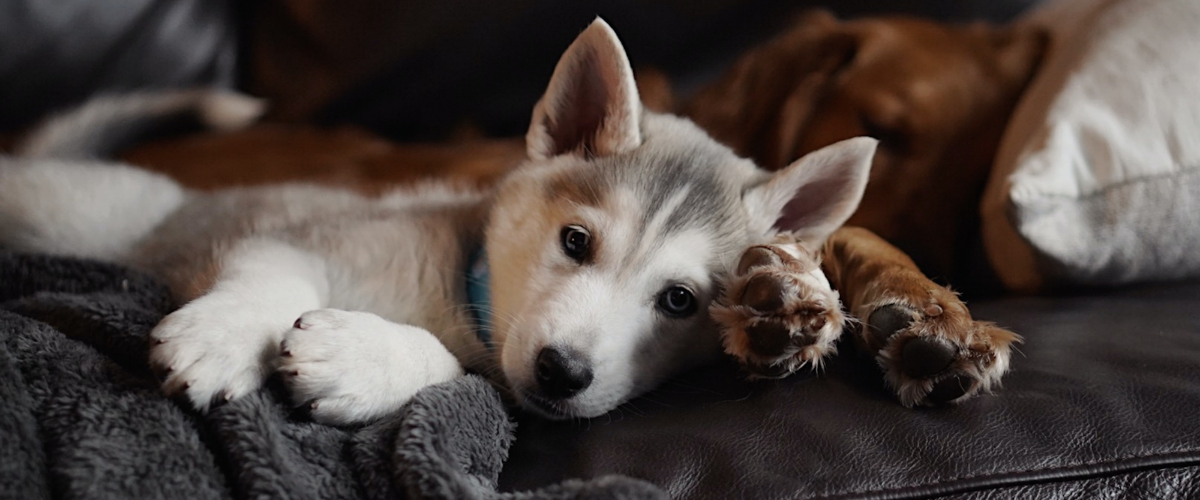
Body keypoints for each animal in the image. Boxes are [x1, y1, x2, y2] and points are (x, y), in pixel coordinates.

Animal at [0, 21, 873, 422]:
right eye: (576, 241)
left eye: (680, 301)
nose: (563, 372)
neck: (463, 294)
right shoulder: (304, 234)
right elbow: (270, 276)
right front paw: (222, 336)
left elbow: (455, 371)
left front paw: (360, 358)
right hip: (70, 212)